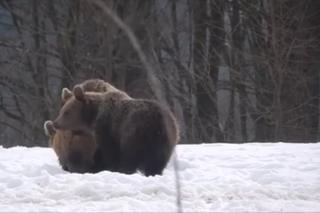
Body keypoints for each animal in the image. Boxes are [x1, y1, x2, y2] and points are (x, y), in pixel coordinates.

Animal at [53, 85, 181, 176]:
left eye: (66, 112)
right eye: (62, 110)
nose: (55, 123)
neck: (93, 116)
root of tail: (157, 120)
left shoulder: (108, 131)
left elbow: (112, 154)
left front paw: (111, 169)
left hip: (135, 134)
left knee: (131, 158)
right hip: (167, 139)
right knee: (157, 162)